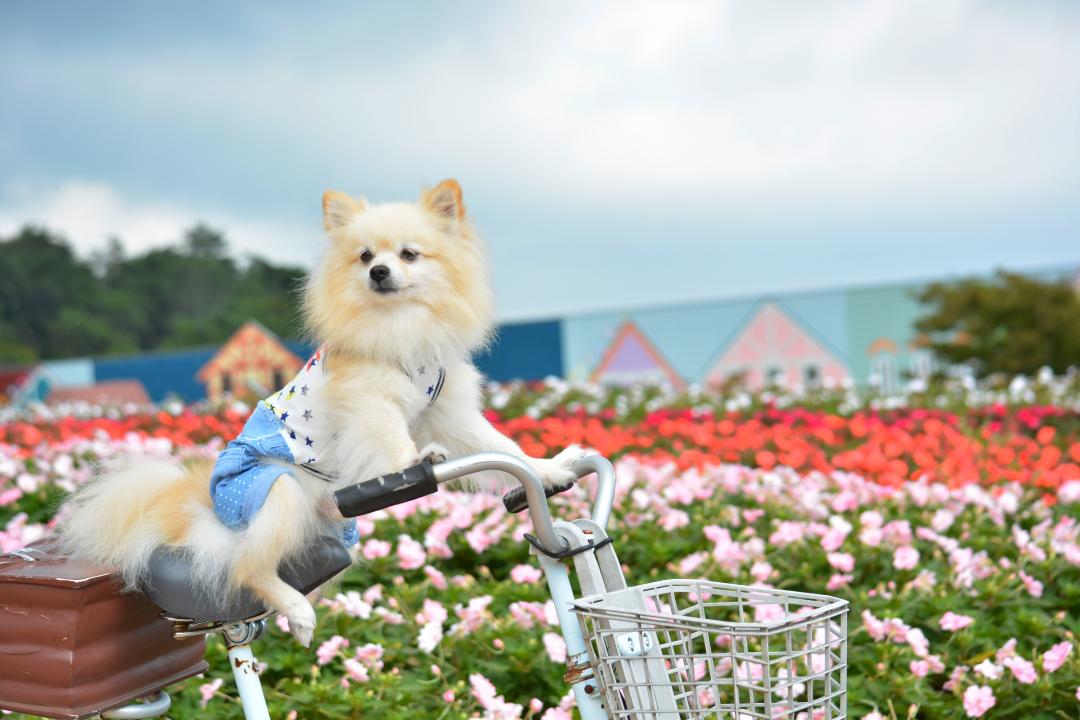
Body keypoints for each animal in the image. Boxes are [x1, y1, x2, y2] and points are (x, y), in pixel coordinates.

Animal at [59, 180, 583, 647]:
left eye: (409, 255)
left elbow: (504, 448)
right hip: (276, 493)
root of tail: (197, 506)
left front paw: (549, 469)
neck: (400, 328)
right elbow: (395, 440)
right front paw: (415, 463)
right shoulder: (371, 403)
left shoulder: (451, 413)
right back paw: (296, 609)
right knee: (248, 568)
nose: (379, 273)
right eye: (366, 257)